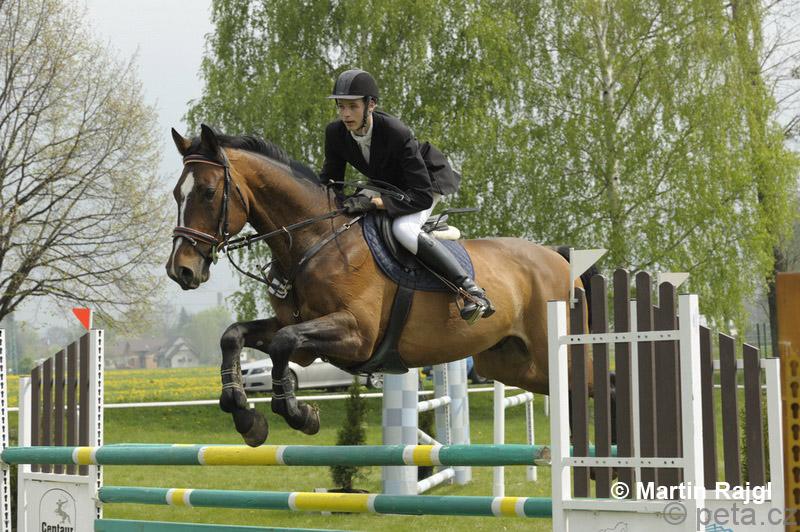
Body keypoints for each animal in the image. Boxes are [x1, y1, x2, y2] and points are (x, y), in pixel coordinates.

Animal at [166, 124, 594, 447]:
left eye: (208, 192)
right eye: (176, 194)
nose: (181, 271)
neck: (314, 240)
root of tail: (559, 258)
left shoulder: (357, 334)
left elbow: (283, 344)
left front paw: (301, 415)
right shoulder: (301, 334)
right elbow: (235, 336)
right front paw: (246, 417)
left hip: (552, 353)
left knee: (593, 386)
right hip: (514, 364)